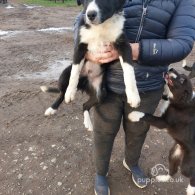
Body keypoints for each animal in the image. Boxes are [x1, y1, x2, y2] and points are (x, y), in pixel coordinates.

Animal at [41, 0, 140, 131]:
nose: (90, 15)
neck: (101, 26)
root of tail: (84, 83)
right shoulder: (80, 46)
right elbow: (74, 72)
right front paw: (70, 92)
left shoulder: (124, 45)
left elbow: (129, 70)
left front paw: (133, 95)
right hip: (64, 75)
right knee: (62, 93)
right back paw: (53, 107)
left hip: (101, 93)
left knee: (85, 105)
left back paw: (88, 123)